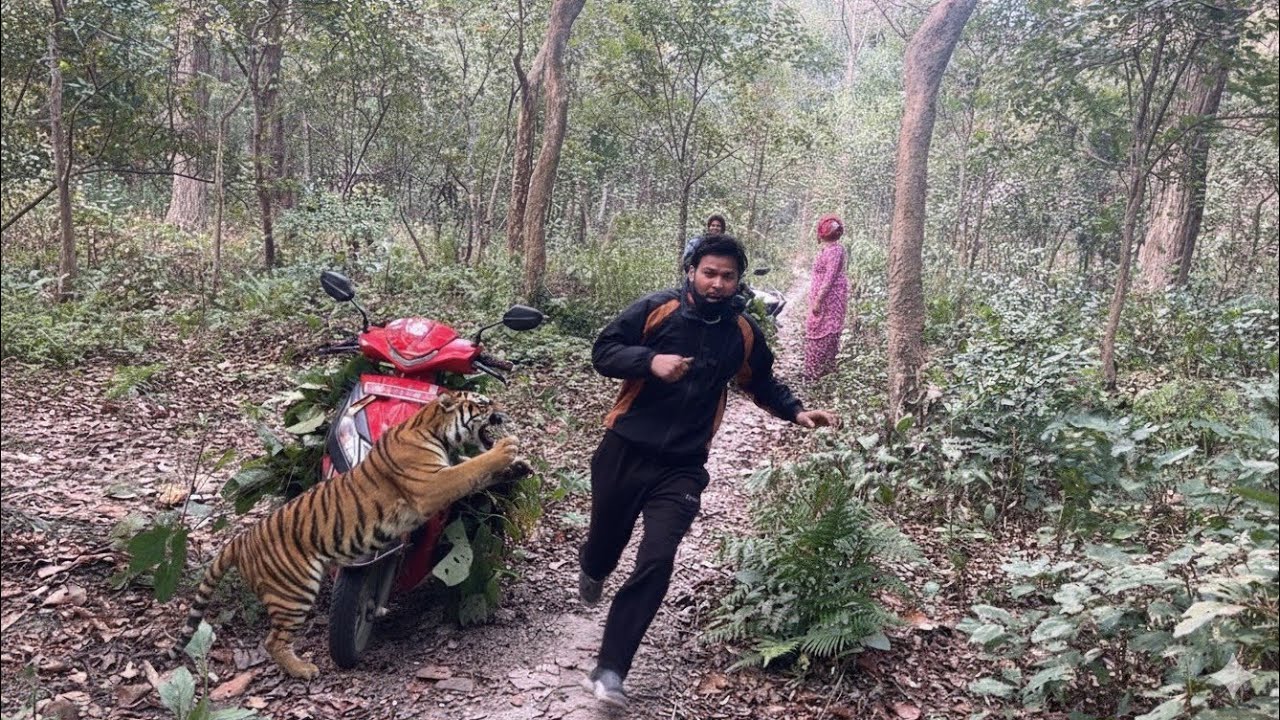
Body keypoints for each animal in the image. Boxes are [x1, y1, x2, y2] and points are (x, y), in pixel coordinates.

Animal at [174, 391, 527, 679]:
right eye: (483, 403)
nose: (505, 413)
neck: (431, 428)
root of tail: (241, 540)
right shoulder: (432, 485)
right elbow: (471, 468)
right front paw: (506, 449)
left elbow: (475, 471)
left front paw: (518, 467)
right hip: (295, 590)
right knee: (274, 640)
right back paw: (303, 670)